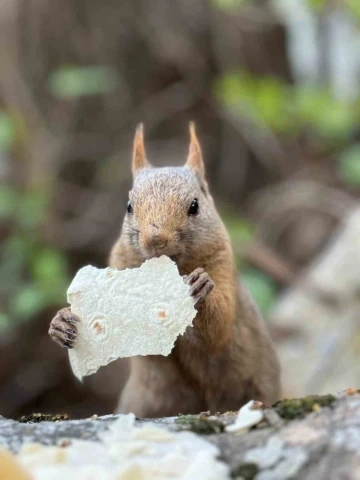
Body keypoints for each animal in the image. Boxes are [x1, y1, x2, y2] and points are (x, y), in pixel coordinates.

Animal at [47, 123, 280, 416]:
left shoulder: (223, 268)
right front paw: (60, 322)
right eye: (129, 206)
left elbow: (219, 326)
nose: (155, 240)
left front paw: (201, 288)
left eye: (195, 206)